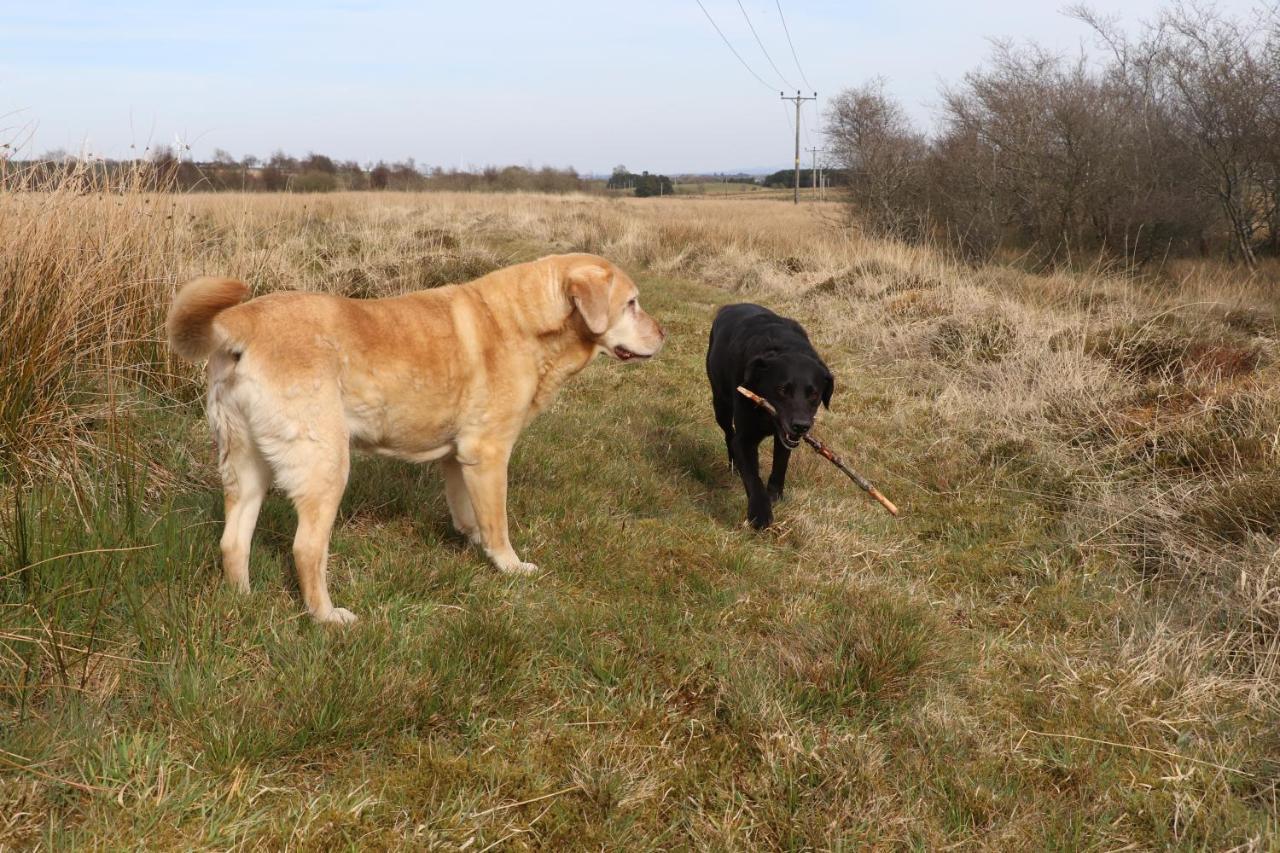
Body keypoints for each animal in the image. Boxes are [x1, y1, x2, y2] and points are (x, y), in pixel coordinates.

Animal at [706, 302, 834, 527]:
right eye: (782, 389)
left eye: (814, 394)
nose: (801, 425)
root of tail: (730, 306)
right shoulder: (745, 439)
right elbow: (752, 476)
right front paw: (760, 513)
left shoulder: (784, 438)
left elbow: (780, 464)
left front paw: (775, 496)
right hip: (720, 403)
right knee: (729, 434)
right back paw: (733, 465)